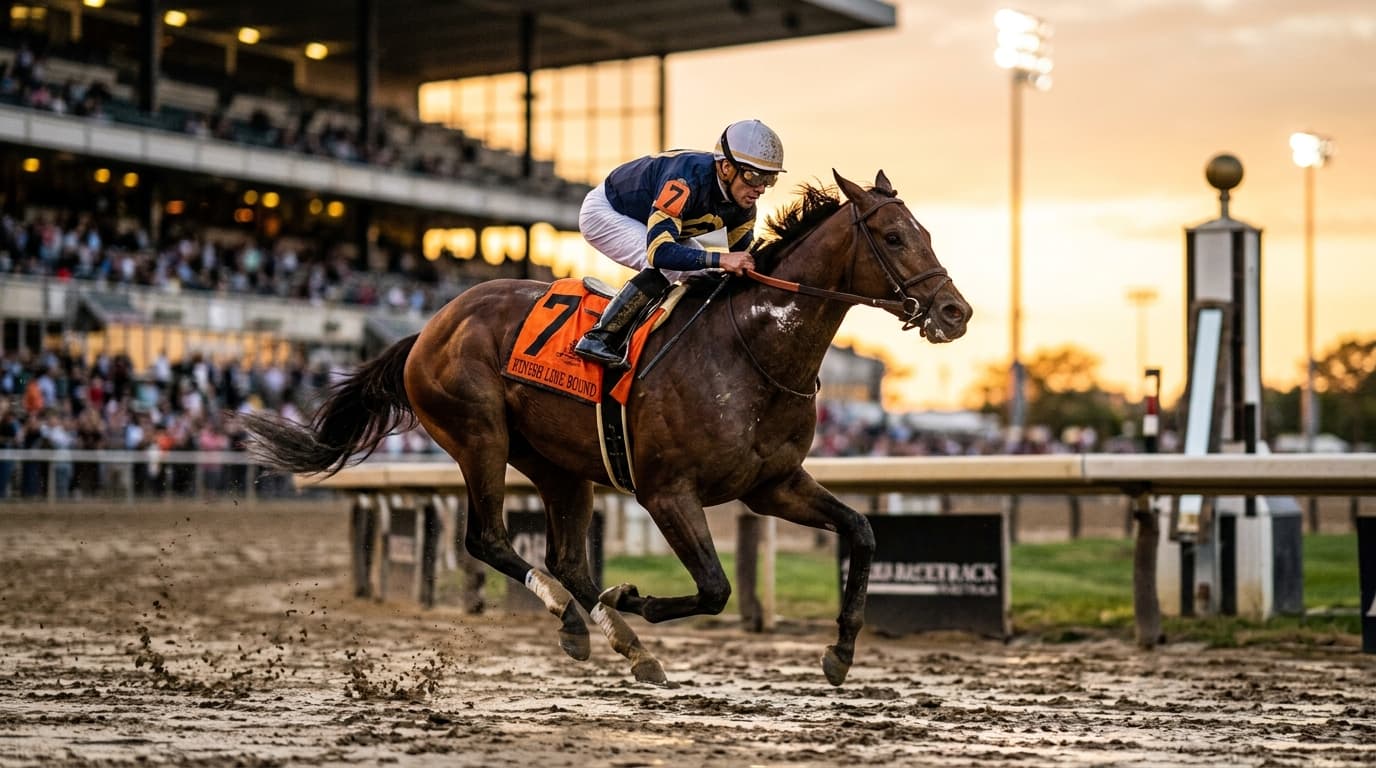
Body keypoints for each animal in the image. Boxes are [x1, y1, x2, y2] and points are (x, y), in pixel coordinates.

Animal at [243, 169, 972, 686]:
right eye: (895, 237)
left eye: (930, 233)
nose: (955, 312)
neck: (752, 348)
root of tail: (429, 326)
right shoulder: (667, 491)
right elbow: (715, 587)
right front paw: (637, 597)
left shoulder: (773, 484)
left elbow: (863, 531)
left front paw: (842, 649)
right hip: (480, 437)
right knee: (490, 539)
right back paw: (588, 620)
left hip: (559, 464)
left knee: (564, 555)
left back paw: (619, 638)